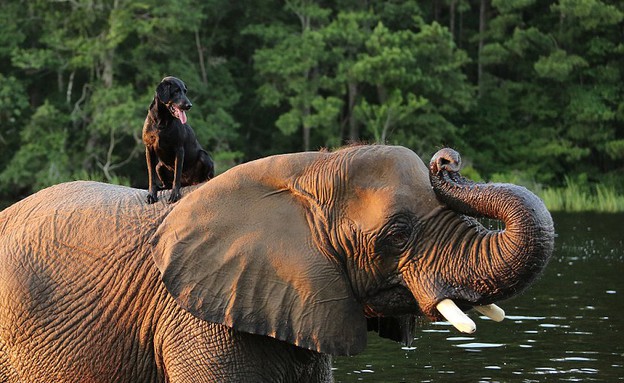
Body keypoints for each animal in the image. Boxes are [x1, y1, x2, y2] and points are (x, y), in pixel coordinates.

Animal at [142, 76, 214, 206]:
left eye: (185, 91)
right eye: (176, 91)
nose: (189, 105)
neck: (161, 121)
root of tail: (189, 182)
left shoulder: (179, 149)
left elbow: (177, 175)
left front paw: (174, 195)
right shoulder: (149, 149)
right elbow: (151, 176)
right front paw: (151, 195)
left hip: (203, 156)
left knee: (208, 177)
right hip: (160, 166)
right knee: (166, 184)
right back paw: (160, 188)